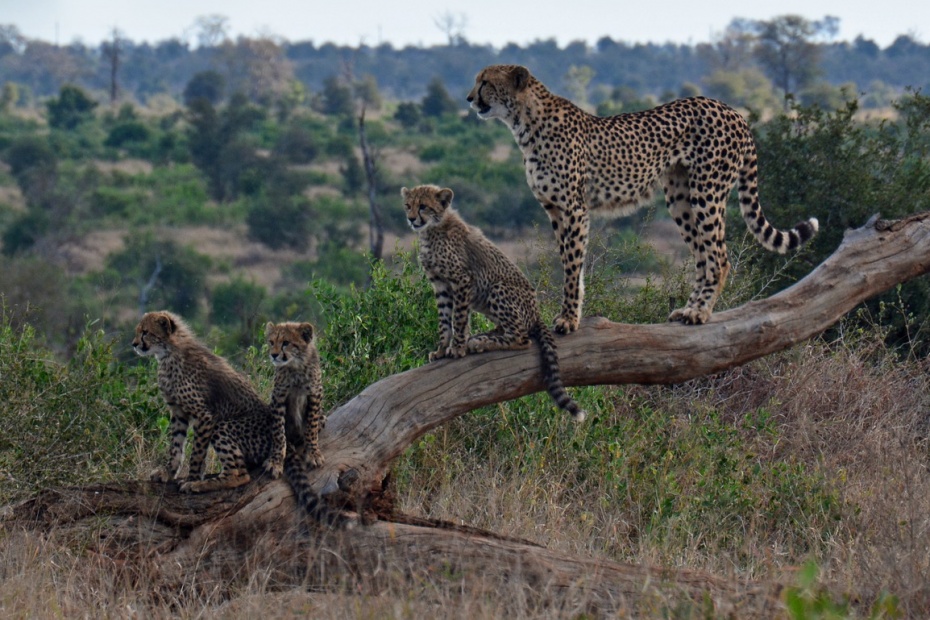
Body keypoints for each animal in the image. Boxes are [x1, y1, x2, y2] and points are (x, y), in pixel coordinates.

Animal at [402, 182, 584, 418]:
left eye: (423, 206)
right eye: (408, 205)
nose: (411, 219)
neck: (433, 229)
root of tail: (536, 313)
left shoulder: (462, 280)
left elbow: (458, 318)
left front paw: (457, 348)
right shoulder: (441, 285)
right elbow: (444, 321)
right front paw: (442, 349)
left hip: (497, 289)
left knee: (521, 337)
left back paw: (481, 343)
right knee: (508, 329)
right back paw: (484, 336)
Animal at [468, 65, 816, 332]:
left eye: (485, 81)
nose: (470, 99)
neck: (525, 122)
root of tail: (733, 111)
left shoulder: (574, 210)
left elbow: (571, 266)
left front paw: (568, 320)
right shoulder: (555, 210)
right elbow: (570, 264)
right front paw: (571, 313)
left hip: (707, 192)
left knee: (719, 257)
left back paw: (700, 312)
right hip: (680, 199)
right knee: (703, 257)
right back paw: (686, 309)